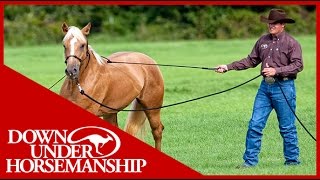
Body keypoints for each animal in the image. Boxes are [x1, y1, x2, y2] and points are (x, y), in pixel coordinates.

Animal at [59, 22, 165, 150]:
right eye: (64, 45)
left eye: (82, 45)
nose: (71, 70)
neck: (78, 86)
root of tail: (149, 60)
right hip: (110, 113)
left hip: (152, 108)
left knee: (157, 130)